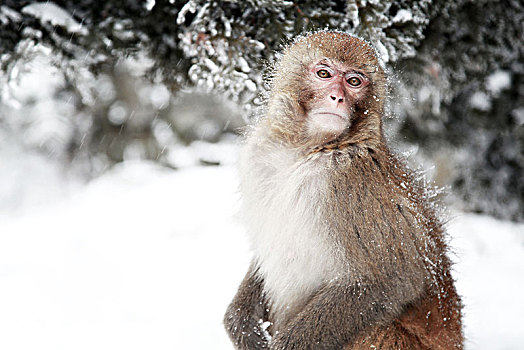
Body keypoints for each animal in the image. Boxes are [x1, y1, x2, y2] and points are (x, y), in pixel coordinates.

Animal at [223, 31, 460, 348]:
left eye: (354, 81)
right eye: (324, 74)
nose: (337, 98)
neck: (307, 150)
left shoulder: (350, 184)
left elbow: (392, 279)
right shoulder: (261, 158)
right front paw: (240, 322)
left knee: (378, 329)